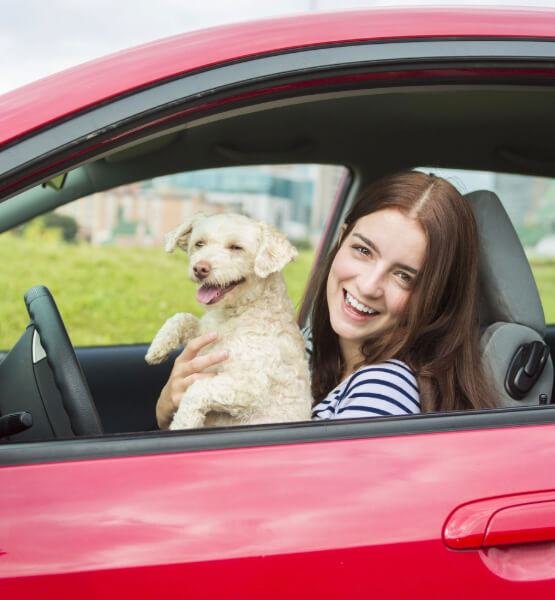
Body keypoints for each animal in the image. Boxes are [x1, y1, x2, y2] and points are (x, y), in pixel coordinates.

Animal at [147, 213, 312, 428]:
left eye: (236, 247)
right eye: (200, 243)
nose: (200, 268)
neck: (236, 314)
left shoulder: (249, 385)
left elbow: (197, 390)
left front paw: (182, 424)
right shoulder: (205, 333)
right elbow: (182, 318)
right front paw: (157, 348)